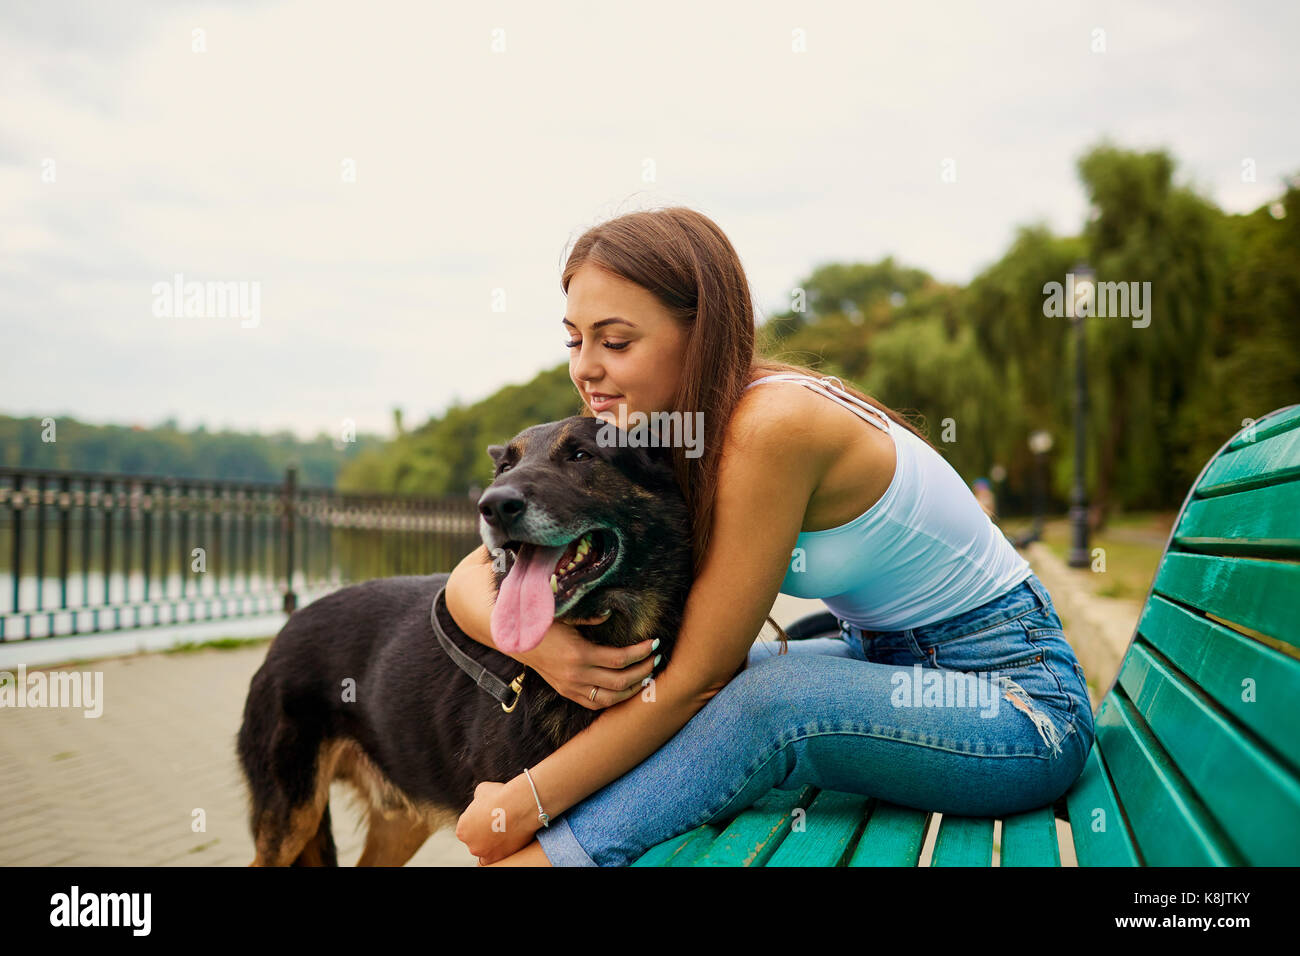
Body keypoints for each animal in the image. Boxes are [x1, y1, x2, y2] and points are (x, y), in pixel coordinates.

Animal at [239, 416, 696, 863]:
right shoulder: (499, 823)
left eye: (582, 455)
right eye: (505, 467)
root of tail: (286, 629)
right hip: (291, 820)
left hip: (397, 824)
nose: (492, 506)